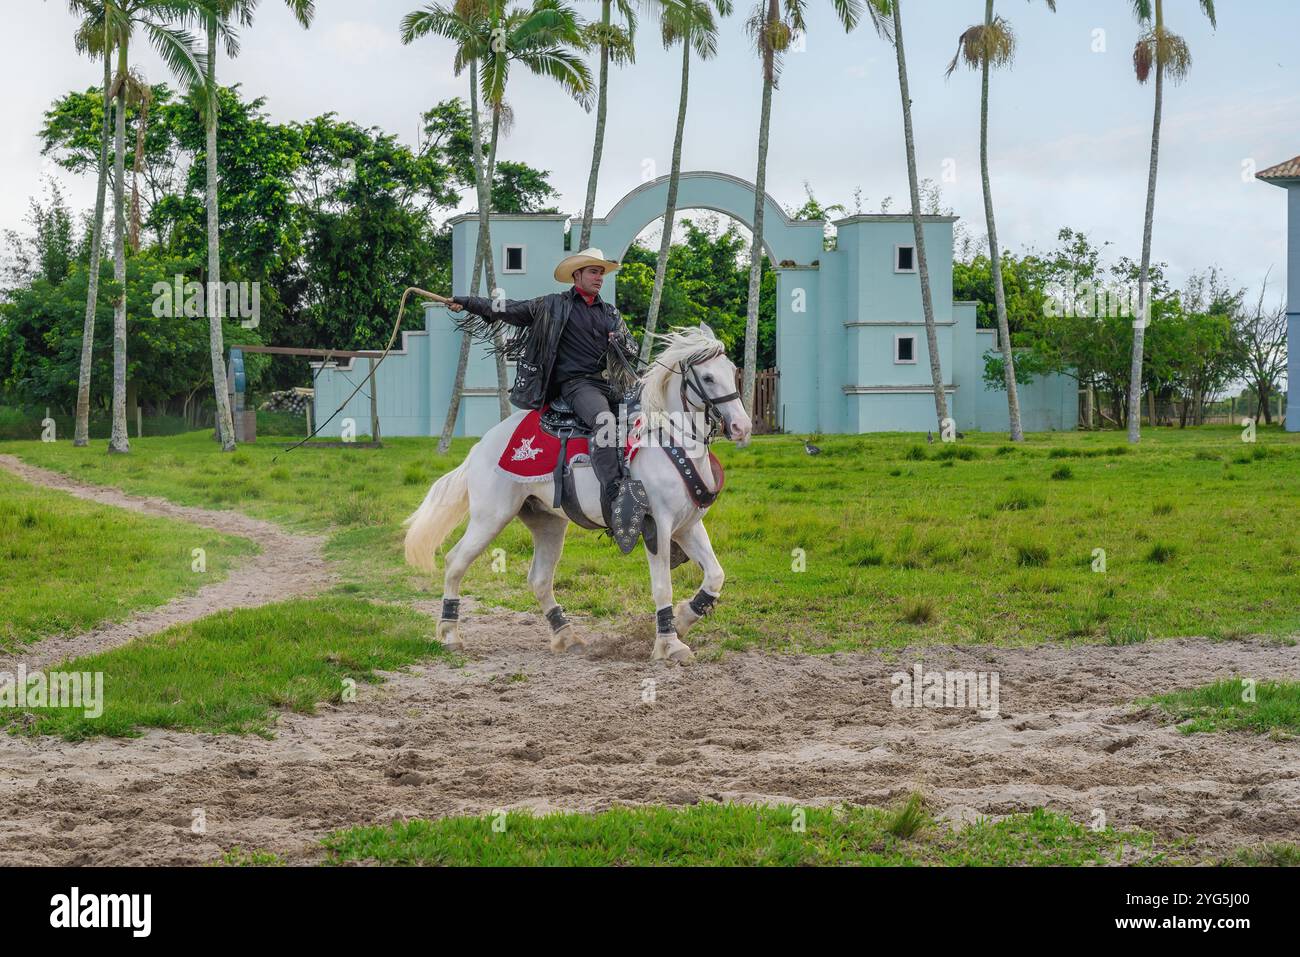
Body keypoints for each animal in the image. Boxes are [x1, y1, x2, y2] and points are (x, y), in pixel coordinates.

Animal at [403, 324, 753, 664]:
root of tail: (480, 446)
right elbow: (662, 587)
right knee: (455, 561)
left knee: (539, 579)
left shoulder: (688, 526)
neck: (668, 438)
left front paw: (682, 620)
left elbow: (715, 575)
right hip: (490, 518)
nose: (742, 427)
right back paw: (450, 634)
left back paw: (566, 635)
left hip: (547, 522)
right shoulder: (658, 527)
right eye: (707, 377)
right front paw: (669, 643)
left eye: (731, 370)